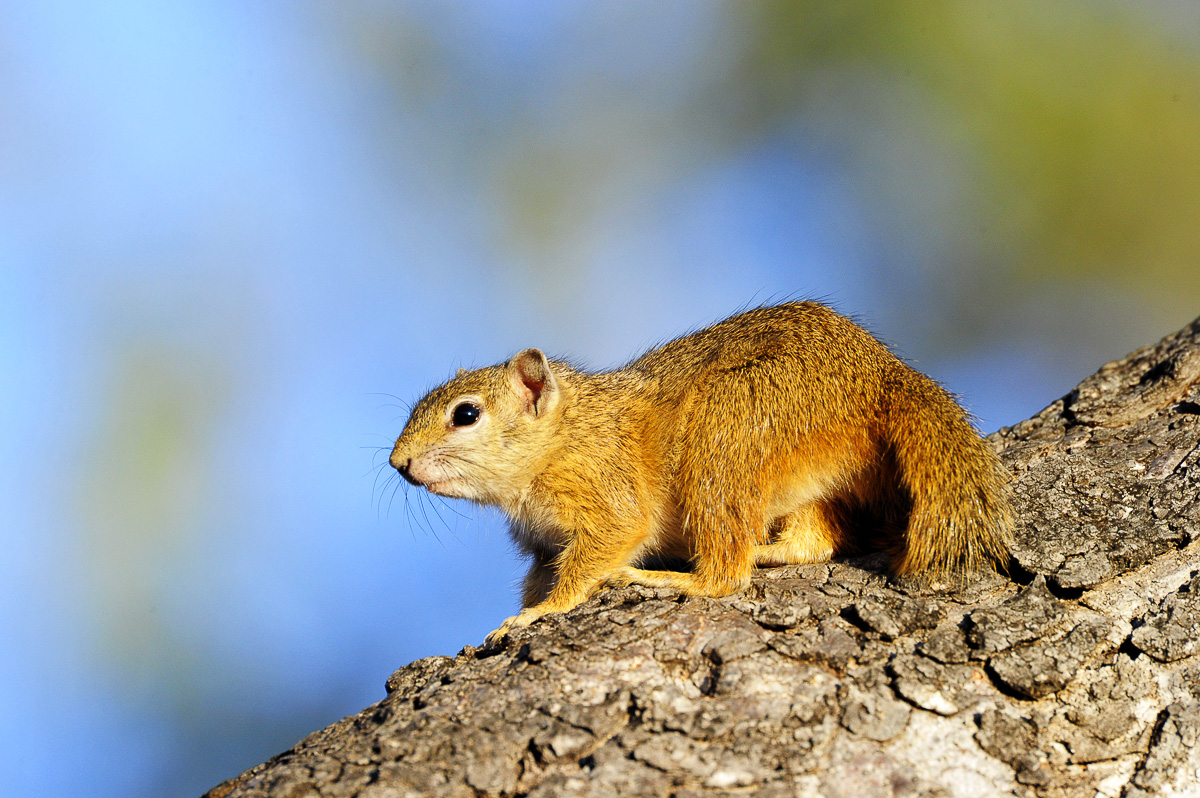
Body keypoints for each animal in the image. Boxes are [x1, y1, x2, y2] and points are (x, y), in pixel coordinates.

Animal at [390, 301, 1012, 646]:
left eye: (466, 415)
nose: (398, 464)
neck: (565, 434)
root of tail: (882, 379)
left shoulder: (605, 488)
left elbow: (601, 549)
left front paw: (538, 615)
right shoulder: (543, 546)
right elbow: (542, 572)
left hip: (725, 436)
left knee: (726, 575)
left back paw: (672, 579)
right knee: (813, 540)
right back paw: (770, 552)